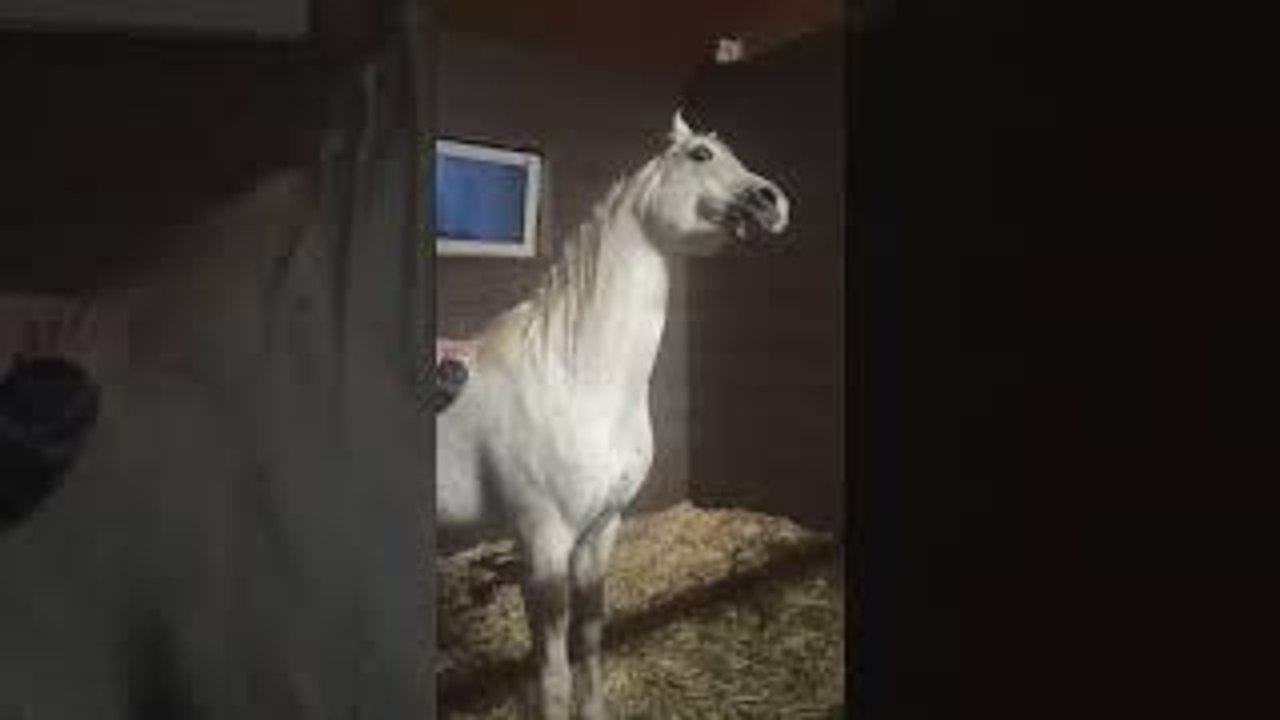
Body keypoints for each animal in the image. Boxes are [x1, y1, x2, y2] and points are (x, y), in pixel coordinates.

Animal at [431, 111, 791, 720]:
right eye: (700, 154)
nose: (774, 201)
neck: (577, 377)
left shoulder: (600, 532)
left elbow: (590, 640)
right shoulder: (546, 542)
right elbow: (552, 674)